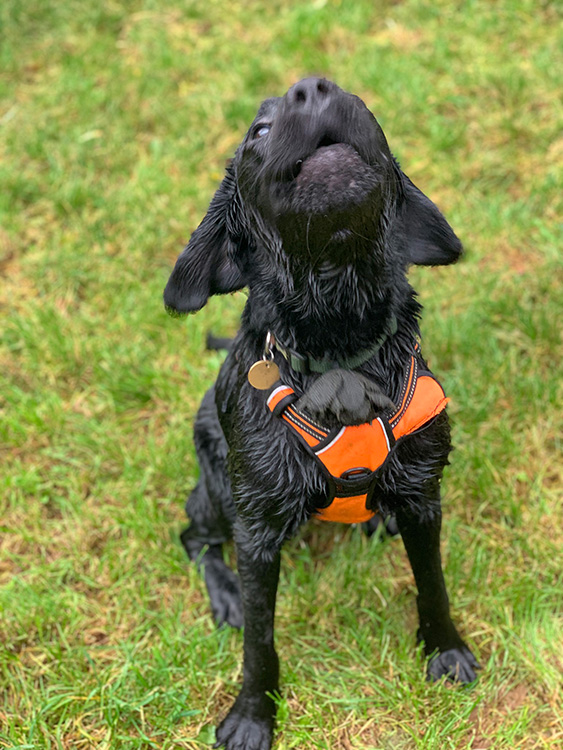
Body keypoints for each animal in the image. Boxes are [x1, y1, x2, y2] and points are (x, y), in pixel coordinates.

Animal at [164, 78, 480, 750]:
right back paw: (225, 597)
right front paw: (252, 717)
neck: (339, 342)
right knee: (194, 536)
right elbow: (260, 642)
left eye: (365, 104)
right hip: (217, 489)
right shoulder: (257, 528)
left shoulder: (423, 494)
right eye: (258, 131)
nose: (314, 87)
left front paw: (446, 651)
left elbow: (433, 584)